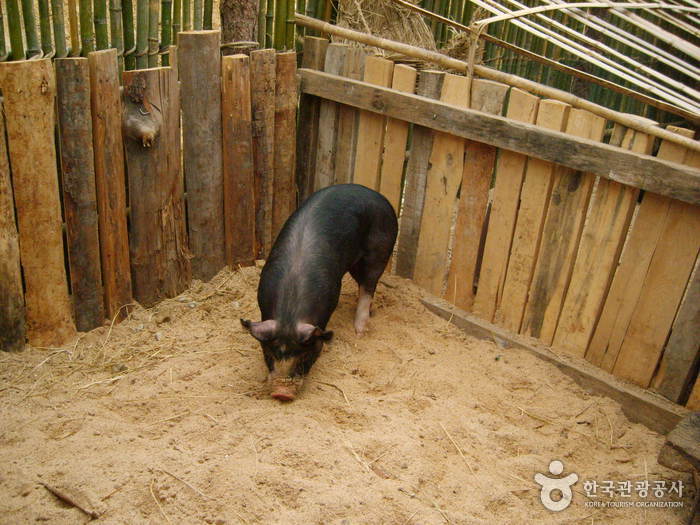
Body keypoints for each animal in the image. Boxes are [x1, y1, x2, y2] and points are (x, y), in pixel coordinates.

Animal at [241, 182, 396, 400]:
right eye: (268, 355)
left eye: (306, 357)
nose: (282, 393)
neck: (290, 310)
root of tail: (376, 194)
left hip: (380, 249)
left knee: (369, 285)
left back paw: (360, 332)